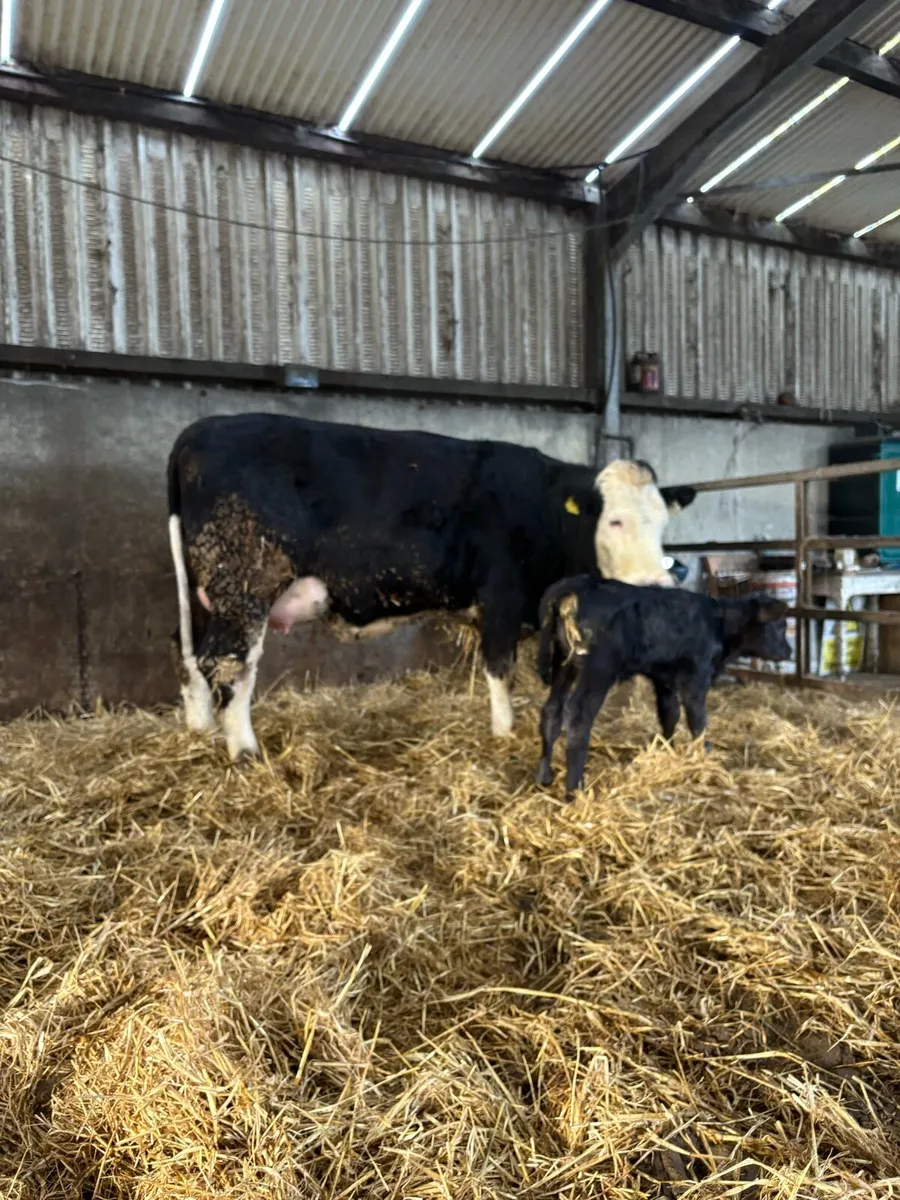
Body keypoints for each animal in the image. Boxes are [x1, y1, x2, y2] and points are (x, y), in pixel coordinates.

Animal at [166, 413, 697, 760]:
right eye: (614, 520)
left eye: (662, 522)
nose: (656, 581)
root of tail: (201, 428)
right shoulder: (500, 598)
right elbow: (500, 671)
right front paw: (504, 736)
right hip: (244, 583)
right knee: (229, 662)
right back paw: (245, 751)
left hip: (204, 591)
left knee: (188, 652)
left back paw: (200, 730)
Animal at [535, 574, 791, 798]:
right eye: (780, 625)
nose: (788, 651)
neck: (718, 623)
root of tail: (575, 584)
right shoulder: (696, 676)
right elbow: (697, 720)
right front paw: (704, 754)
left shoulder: (664, 678)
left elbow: (670, 714)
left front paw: (668, 750)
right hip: (599, 669)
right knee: (578, 717)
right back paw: (574, 790)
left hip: (563, 663)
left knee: (551, 711)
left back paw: (544, 777)